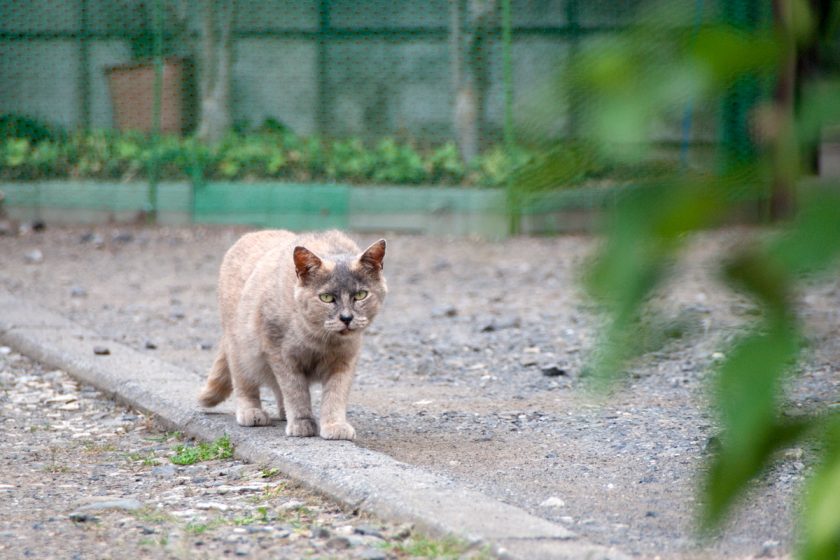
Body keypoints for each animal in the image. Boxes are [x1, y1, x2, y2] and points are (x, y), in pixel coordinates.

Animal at [200, 230, 388, 440]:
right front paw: (301, 423)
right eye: (326, 298)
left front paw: (334, 425)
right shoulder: (280, 353)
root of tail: (250, 234)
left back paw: (283, 413)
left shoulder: (345, 359)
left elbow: (335, 394)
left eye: (361, 295)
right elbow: (295, 391)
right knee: (245, 384)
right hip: (241, 350)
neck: (320, 340)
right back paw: (252, 412)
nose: (346, 318)